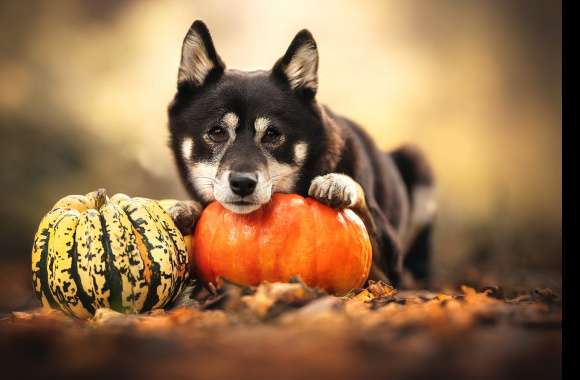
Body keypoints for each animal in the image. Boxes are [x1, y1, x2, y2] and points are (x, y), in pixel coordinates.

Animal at [167, 20, 436, 288]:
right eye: (217, 132)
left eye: (272, 134)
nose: (242, 184)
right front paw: (185, 208)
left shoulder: (390, 261)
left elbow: (361, 205)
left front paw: (337, 183)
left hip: (416, 161)